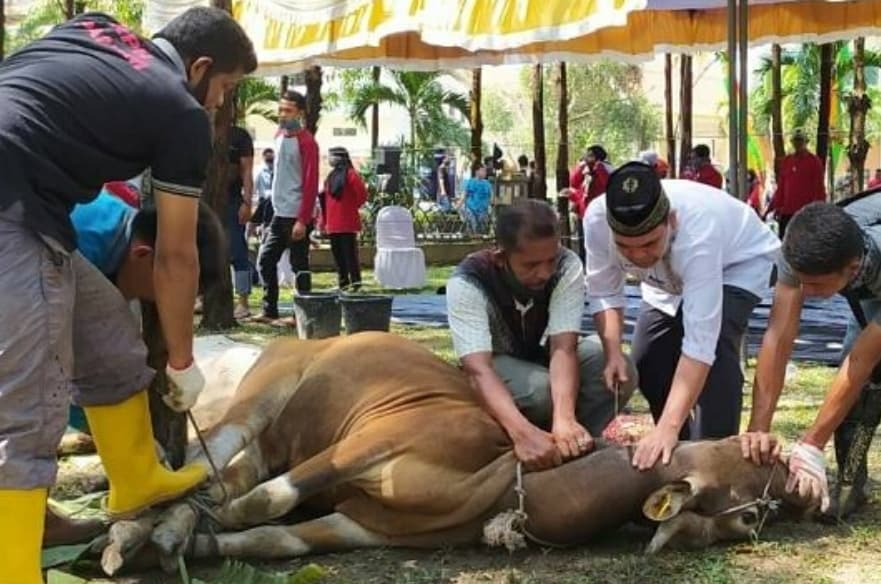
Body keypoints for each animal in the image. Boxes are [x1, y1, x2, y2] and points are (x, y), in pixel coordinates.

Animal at [96, 334, 812, 576]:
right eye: (736, 450)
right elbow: (261, 504)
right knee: (213, 458)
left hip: (272, 437)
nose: (801, 481)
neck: (496, 482)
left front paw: (178, 547)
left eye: (755, 518)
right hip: (265, 392)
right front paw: (146, 537)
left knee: (217, 477)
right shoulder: (367, 443)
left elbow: (266, 535)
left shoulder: (361, 527)